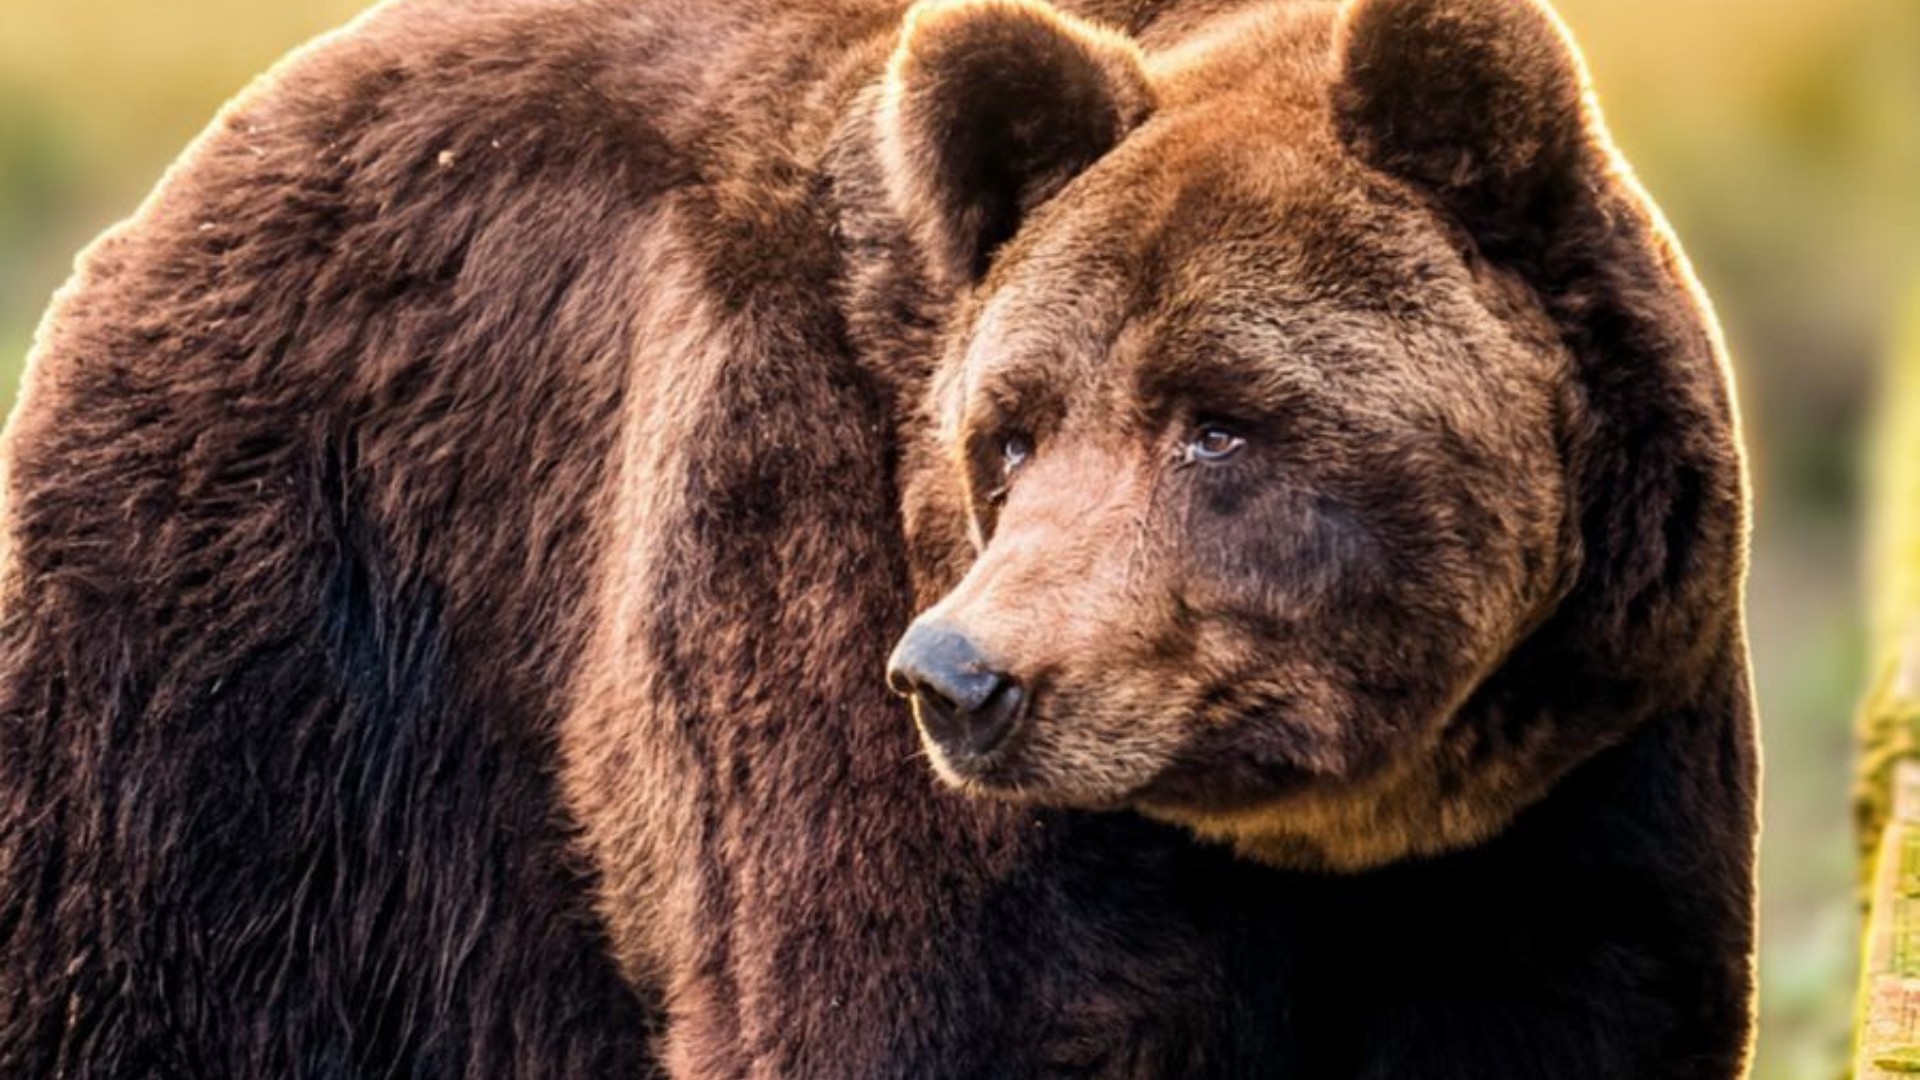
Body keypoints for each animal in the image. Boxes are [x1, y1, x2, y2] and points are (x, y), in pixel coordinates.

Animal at [0, 1, 1757, 1079]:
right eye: (1010, 432)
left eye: (1219, 422)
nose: (965, 676)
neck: (1332, 829)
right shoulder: (816, 597)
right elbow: (895, 1003)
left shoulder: (1578, 788)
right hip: (277, 661)